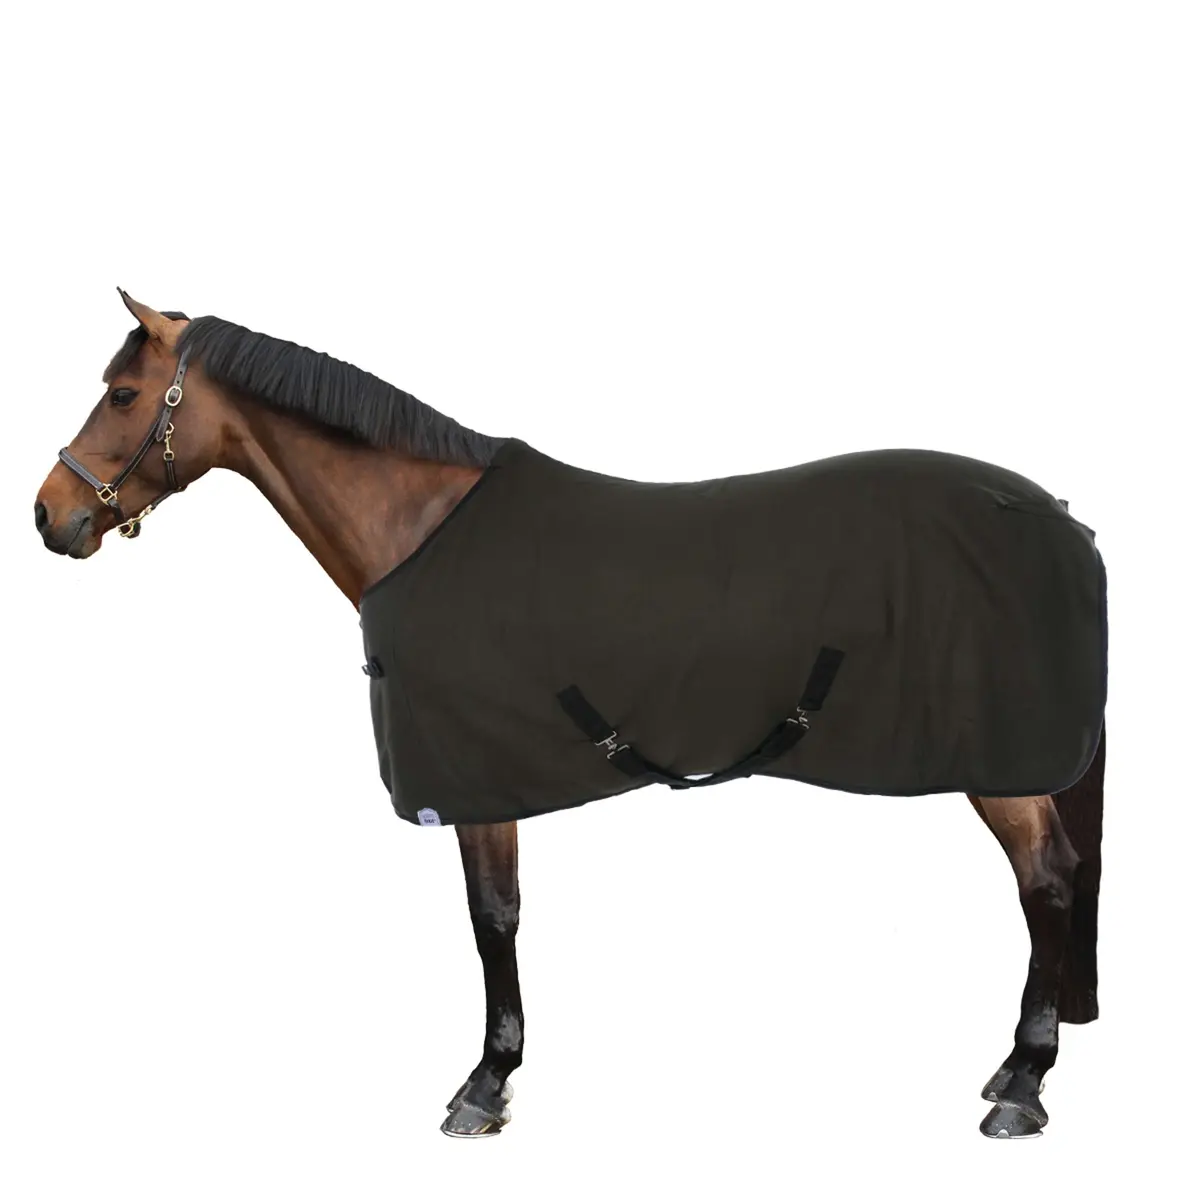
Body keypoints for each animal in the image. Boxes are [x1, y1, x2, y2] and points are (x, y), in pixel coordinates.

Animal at [34, 290, 1106, 1140]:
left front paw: (484, 1084)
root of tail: (1057, 516)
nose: (50, 516)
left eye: (123, 395)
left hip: (1000, 765)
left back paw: (1023, 1085)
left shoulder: (475, 781)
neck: (420, 528)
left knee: (1048, 881)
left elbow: (492, 919)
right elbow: (500, 915)